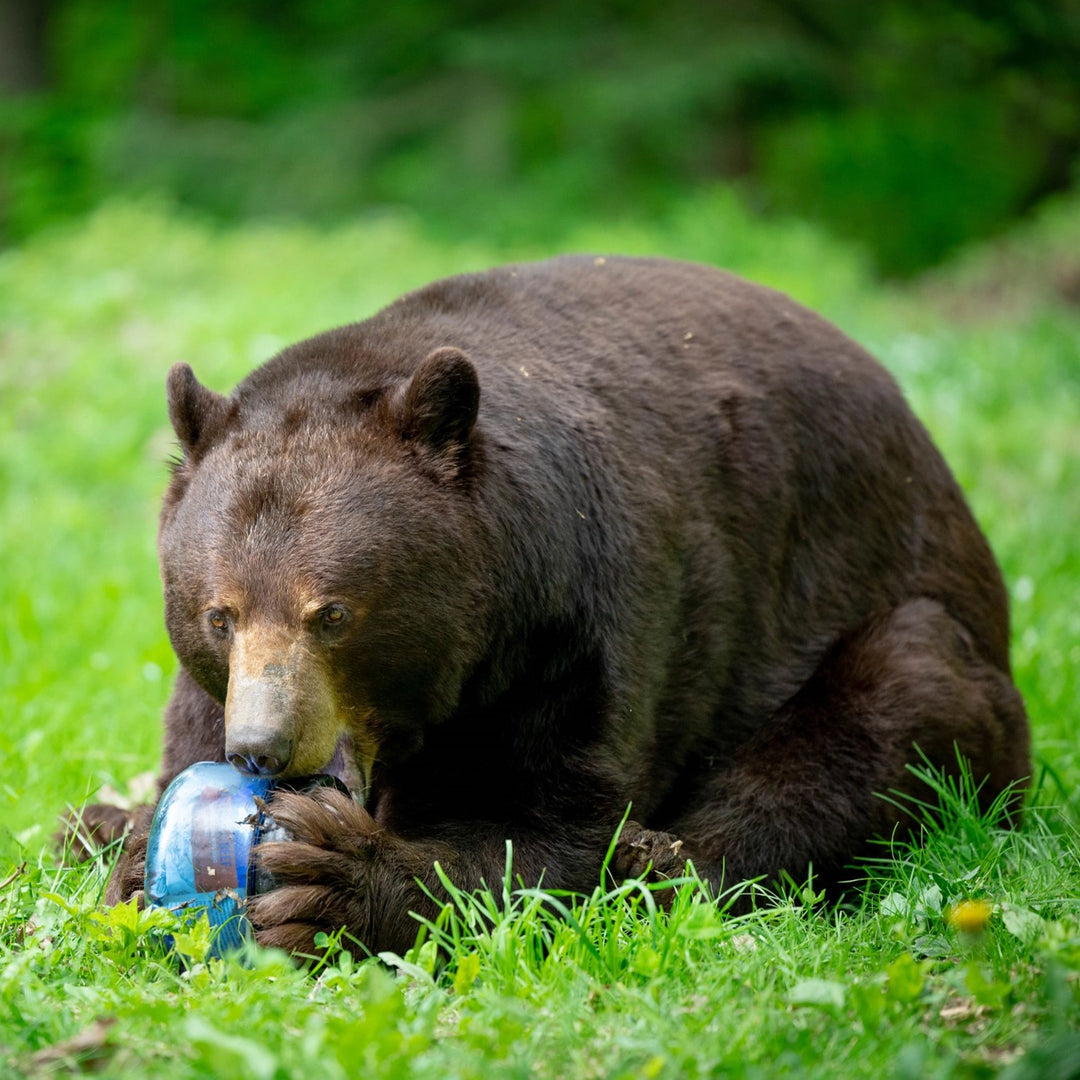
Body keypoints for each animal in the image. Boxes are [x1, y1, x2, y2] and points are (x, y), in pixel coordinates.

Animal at [69, 255, 1030, 957]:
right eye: (219, 615)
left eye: (332, 613)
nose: (260, 748)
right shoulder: (214, 684)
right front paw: (128, 845)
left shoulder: (575, 627)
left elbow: (550, 827)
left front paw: (331, 880)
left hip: (888, 606)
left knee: (880, 711)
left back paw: (666, 859)